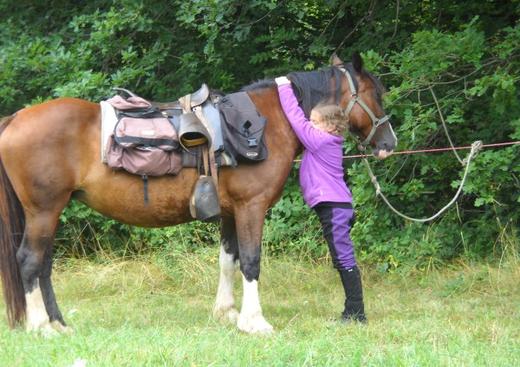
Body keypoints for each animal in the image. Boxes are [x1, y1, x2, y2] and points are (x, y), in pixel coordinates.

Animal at [0, 52, 396, 336]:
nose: (389, 142)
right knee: (30, 261)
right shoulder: (251, 208)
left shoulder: (231, 212)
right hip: (44, 211)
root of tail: (16, 118)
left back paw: (59, 324)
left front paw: (227, 312)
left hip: (51, 212)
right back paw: (41, 327)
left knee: (44, 266)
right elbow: (251, 261)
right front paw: (255, 322)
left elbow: (228, 260)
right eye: (375, 94)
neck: (267, 123)